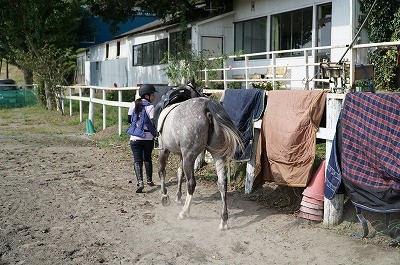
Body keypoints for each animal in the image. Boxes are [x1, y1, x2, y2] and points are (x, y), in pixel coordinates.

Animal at [156, 82, 242, 229]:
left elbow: (162, 172)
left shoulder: (165, 149)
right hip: (217, 155)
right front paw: (178, 197)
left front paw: (165, 197)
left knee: (191, 183)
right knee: (222, 183)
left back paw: (184, 212)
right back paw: (223, 220)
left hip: (189, 156)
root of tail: (207, 107)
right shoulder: (182, 154)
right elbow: (180, 173)